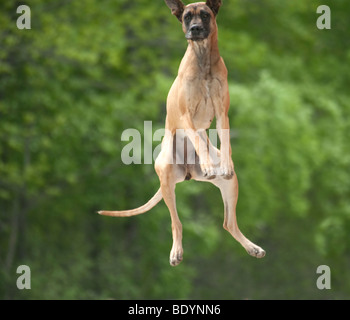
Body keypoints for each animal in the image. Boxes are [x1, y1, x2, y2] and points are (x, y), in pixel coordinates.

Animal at [98, 0, 266, 266]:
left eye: (205, 15)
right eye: (187, 17)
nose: (195, 29)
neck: (203, 60)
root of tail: (188, 173)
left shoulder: (223, 113)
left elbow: (226, 138)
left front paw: (224, 164)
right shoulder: (186, 116)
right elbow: (196, 136)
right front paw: (207, 164)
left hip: (230, 185)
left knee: (228, 223)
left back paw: (253, 247)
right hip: (167, 179)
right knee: (176, 223)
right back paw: (176, 251)